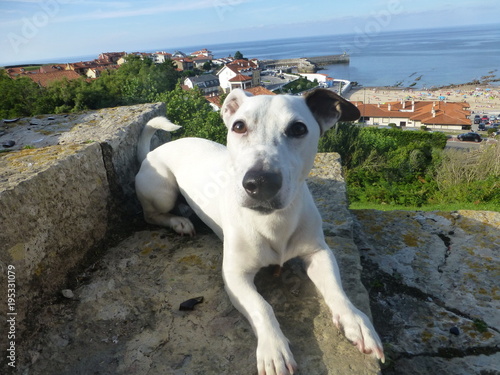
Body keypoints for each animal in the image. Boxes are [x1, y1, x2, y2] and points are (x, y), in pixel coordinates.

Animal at [135, 89, 384, 374]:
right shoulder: (234, 276)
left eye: (298, 128)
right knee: (151, 214)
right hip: (162, 191)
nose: (261, 182)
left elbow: (336, 288)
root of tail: (151, 152)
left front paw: (356, 321)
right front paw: (273, 348)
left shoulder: (318, 253)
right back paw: (179, 221)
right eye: (238, 126)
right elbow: (261, 306)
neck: (273, 222)